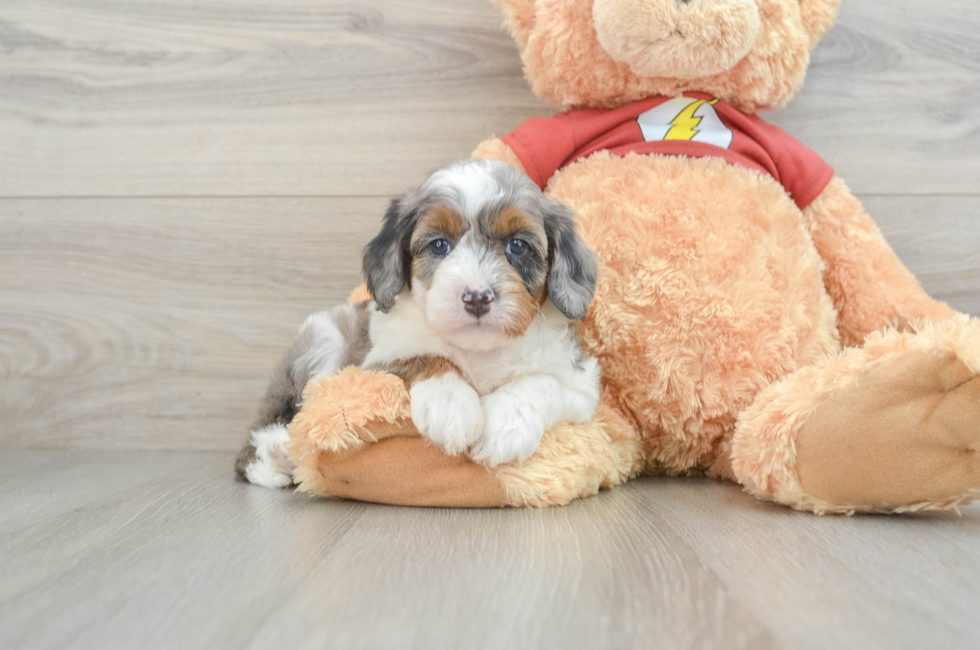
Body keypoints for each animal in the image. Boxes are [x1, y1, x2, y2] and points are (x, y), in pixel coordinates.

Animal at [240, 159, 600, 486]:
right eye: (439, 245)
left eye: (518, 245)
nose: (477, 296)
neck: (478, 351)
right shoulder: (373, 361)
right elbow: (423, 356)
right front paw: (451, 406)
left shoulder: (582, 385)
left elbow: (540, 382)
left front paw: (508, 425)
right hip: (323, 338)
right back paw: (276, 454)